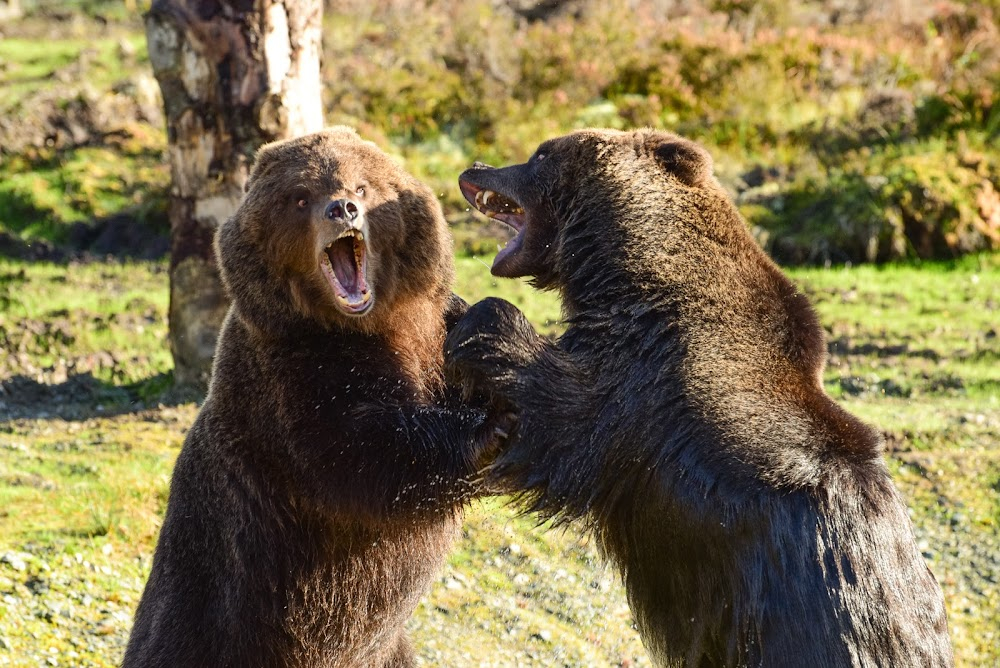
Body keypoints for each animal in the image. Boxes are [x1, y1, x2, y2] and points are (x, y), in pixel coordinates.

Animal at [446, 129, 952, 668]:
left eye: (541, 153)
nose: (477, 166)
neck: (627, 271)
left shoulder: (645, 385)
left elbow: (562, 418)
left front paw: (473, 318)